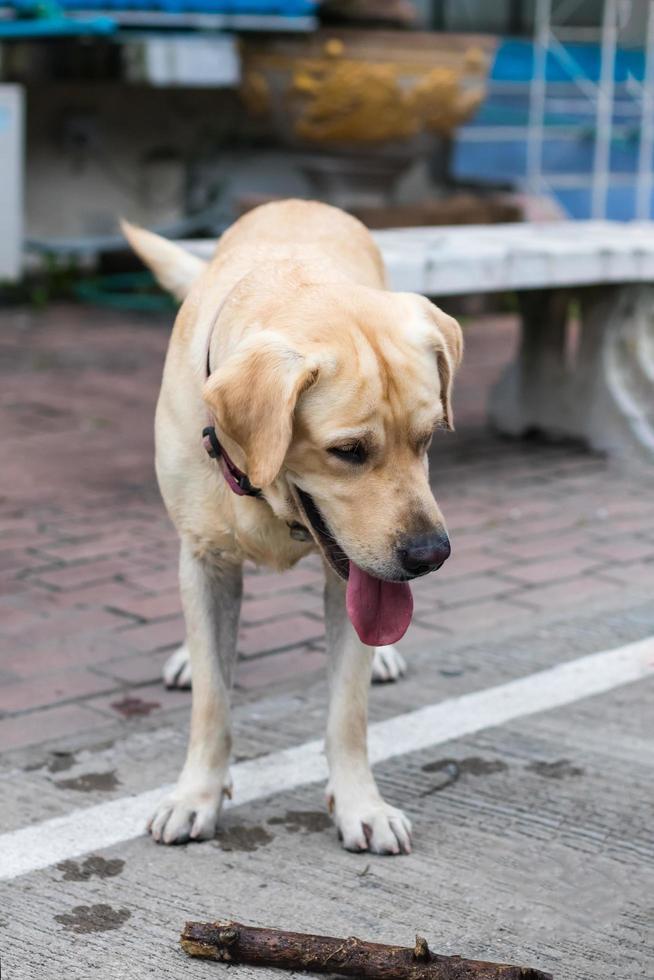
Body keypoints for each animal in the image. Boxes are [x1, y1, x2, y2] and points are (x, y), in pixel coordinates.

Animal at [123, 201, 462, 856]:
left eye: (429, 437)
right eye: (348, 452)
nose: (431, 555)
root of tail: (298, 202)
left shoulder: (349, 581)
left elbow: (347, 712)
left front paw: (361, 805)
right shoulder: (205, 559)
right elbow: (213, 704)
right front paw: (196, 796)